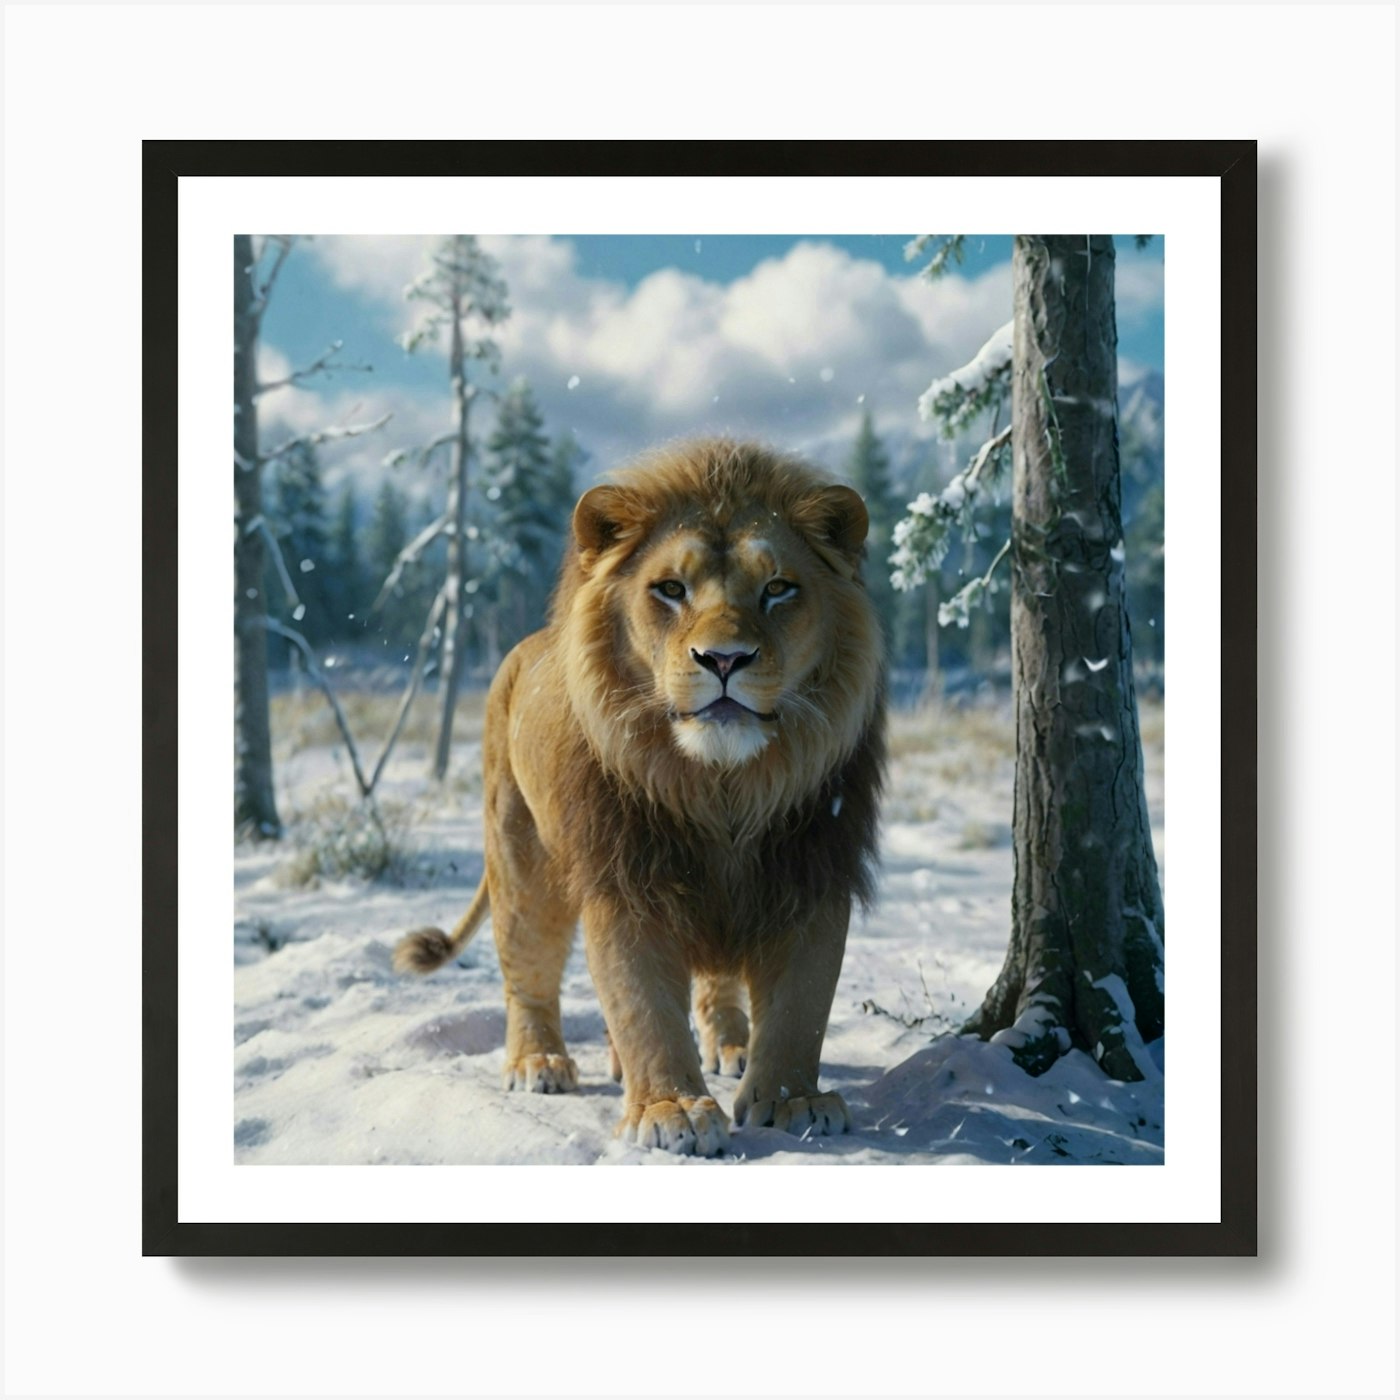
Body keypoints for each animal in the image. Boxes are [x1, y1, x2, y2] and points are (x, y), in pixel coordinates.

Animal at [394, 438, 886, 1157]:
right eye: (671, 589)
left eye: (778, 588)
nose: (725, 659)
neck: (721, 786)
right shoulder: (626, 878)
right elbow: (639, 1000)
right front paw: (671, 1108)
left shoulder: (811, 867)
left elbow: (803, 1003)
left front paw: (794, 1099)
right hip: (519, 854)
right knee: (528, 969)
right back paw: (538, 1062)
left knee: (716, 982)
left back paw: (729, 1044)